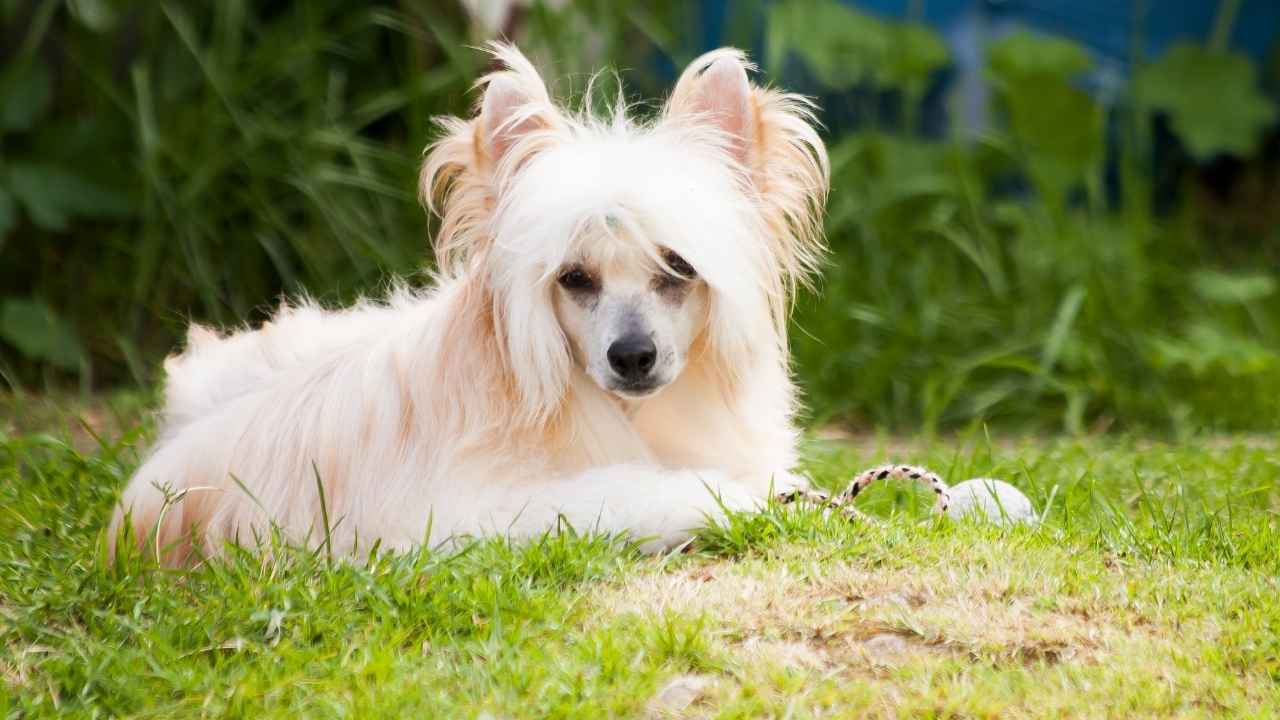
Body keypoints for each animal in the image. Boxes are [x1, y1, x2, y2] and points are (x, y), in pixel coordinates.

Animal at [110, 43, 829, 561]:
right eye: (573, 278)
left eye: (677, 265)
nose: (632, 355)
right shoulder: (465, 514)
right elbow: (625, 497)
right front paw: (725, 498)